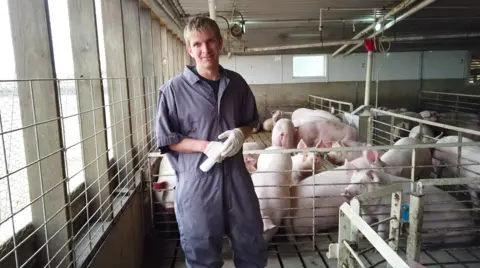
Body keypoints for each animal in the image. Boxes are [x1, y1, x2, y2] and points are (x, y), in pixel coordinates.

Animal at [342, 170, 476, 245]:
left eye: (361, 183)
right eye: (351, 180)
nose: (345, 190)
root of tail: (471, 221)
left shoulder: (384, 214)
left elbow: (381, 229)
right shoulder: (368, 214)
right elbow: (363, 223)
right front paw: (360, 236)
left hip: (455, 231)